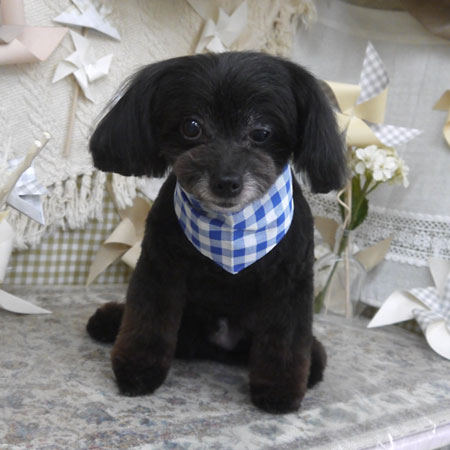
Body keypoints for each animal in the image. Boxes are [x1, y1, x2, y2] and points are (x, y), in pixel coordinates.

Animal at [86, 51, 347, 414]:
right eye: (191, 127)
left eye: (262, 132)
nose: (226, 182)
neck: (230, 230)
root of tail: (217, 349)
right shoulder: (160, 266)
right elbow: (147, 320)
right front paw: (137, 370)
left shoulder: (290, 282)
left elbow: (285, 340)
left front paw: (279, 391)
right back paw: (109, 319)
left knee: (312, 356)